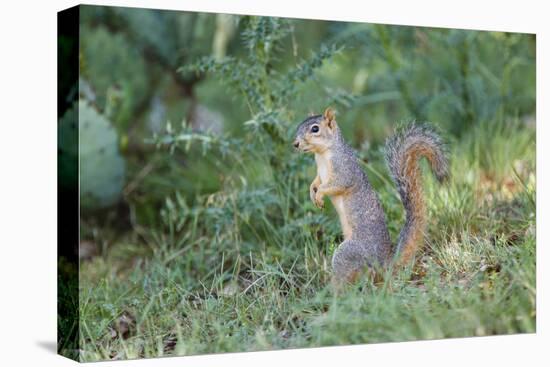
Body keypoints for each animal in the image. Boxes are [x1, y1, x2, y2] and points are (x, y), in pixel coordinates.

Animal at [294, 108, 448, 286]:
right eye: (300, 125)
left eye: (315, 129)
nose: (295, 144)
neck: (322, 154)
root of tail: (384, 263)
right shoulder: (320, 173)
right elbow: (316, 182)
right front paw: (312, 193)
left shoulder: (344, 168)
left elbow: (337, 184)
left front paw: (319, 194)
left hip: (349, 252)